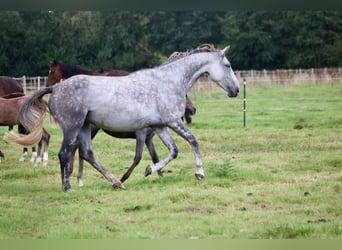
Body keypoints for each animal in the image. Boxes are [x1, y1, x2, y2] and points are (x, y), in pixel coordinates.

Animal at [45, 60, 195, 186]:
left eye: (51, 71)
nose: (193, 110)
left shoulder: (149, 139)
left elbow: (155, 158)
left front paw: (158, 174)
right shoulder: (141, 135)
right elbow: (138, 158)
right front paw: (123, 178)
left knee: (81, 150)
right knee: (78, 149)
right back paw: (77, 177)